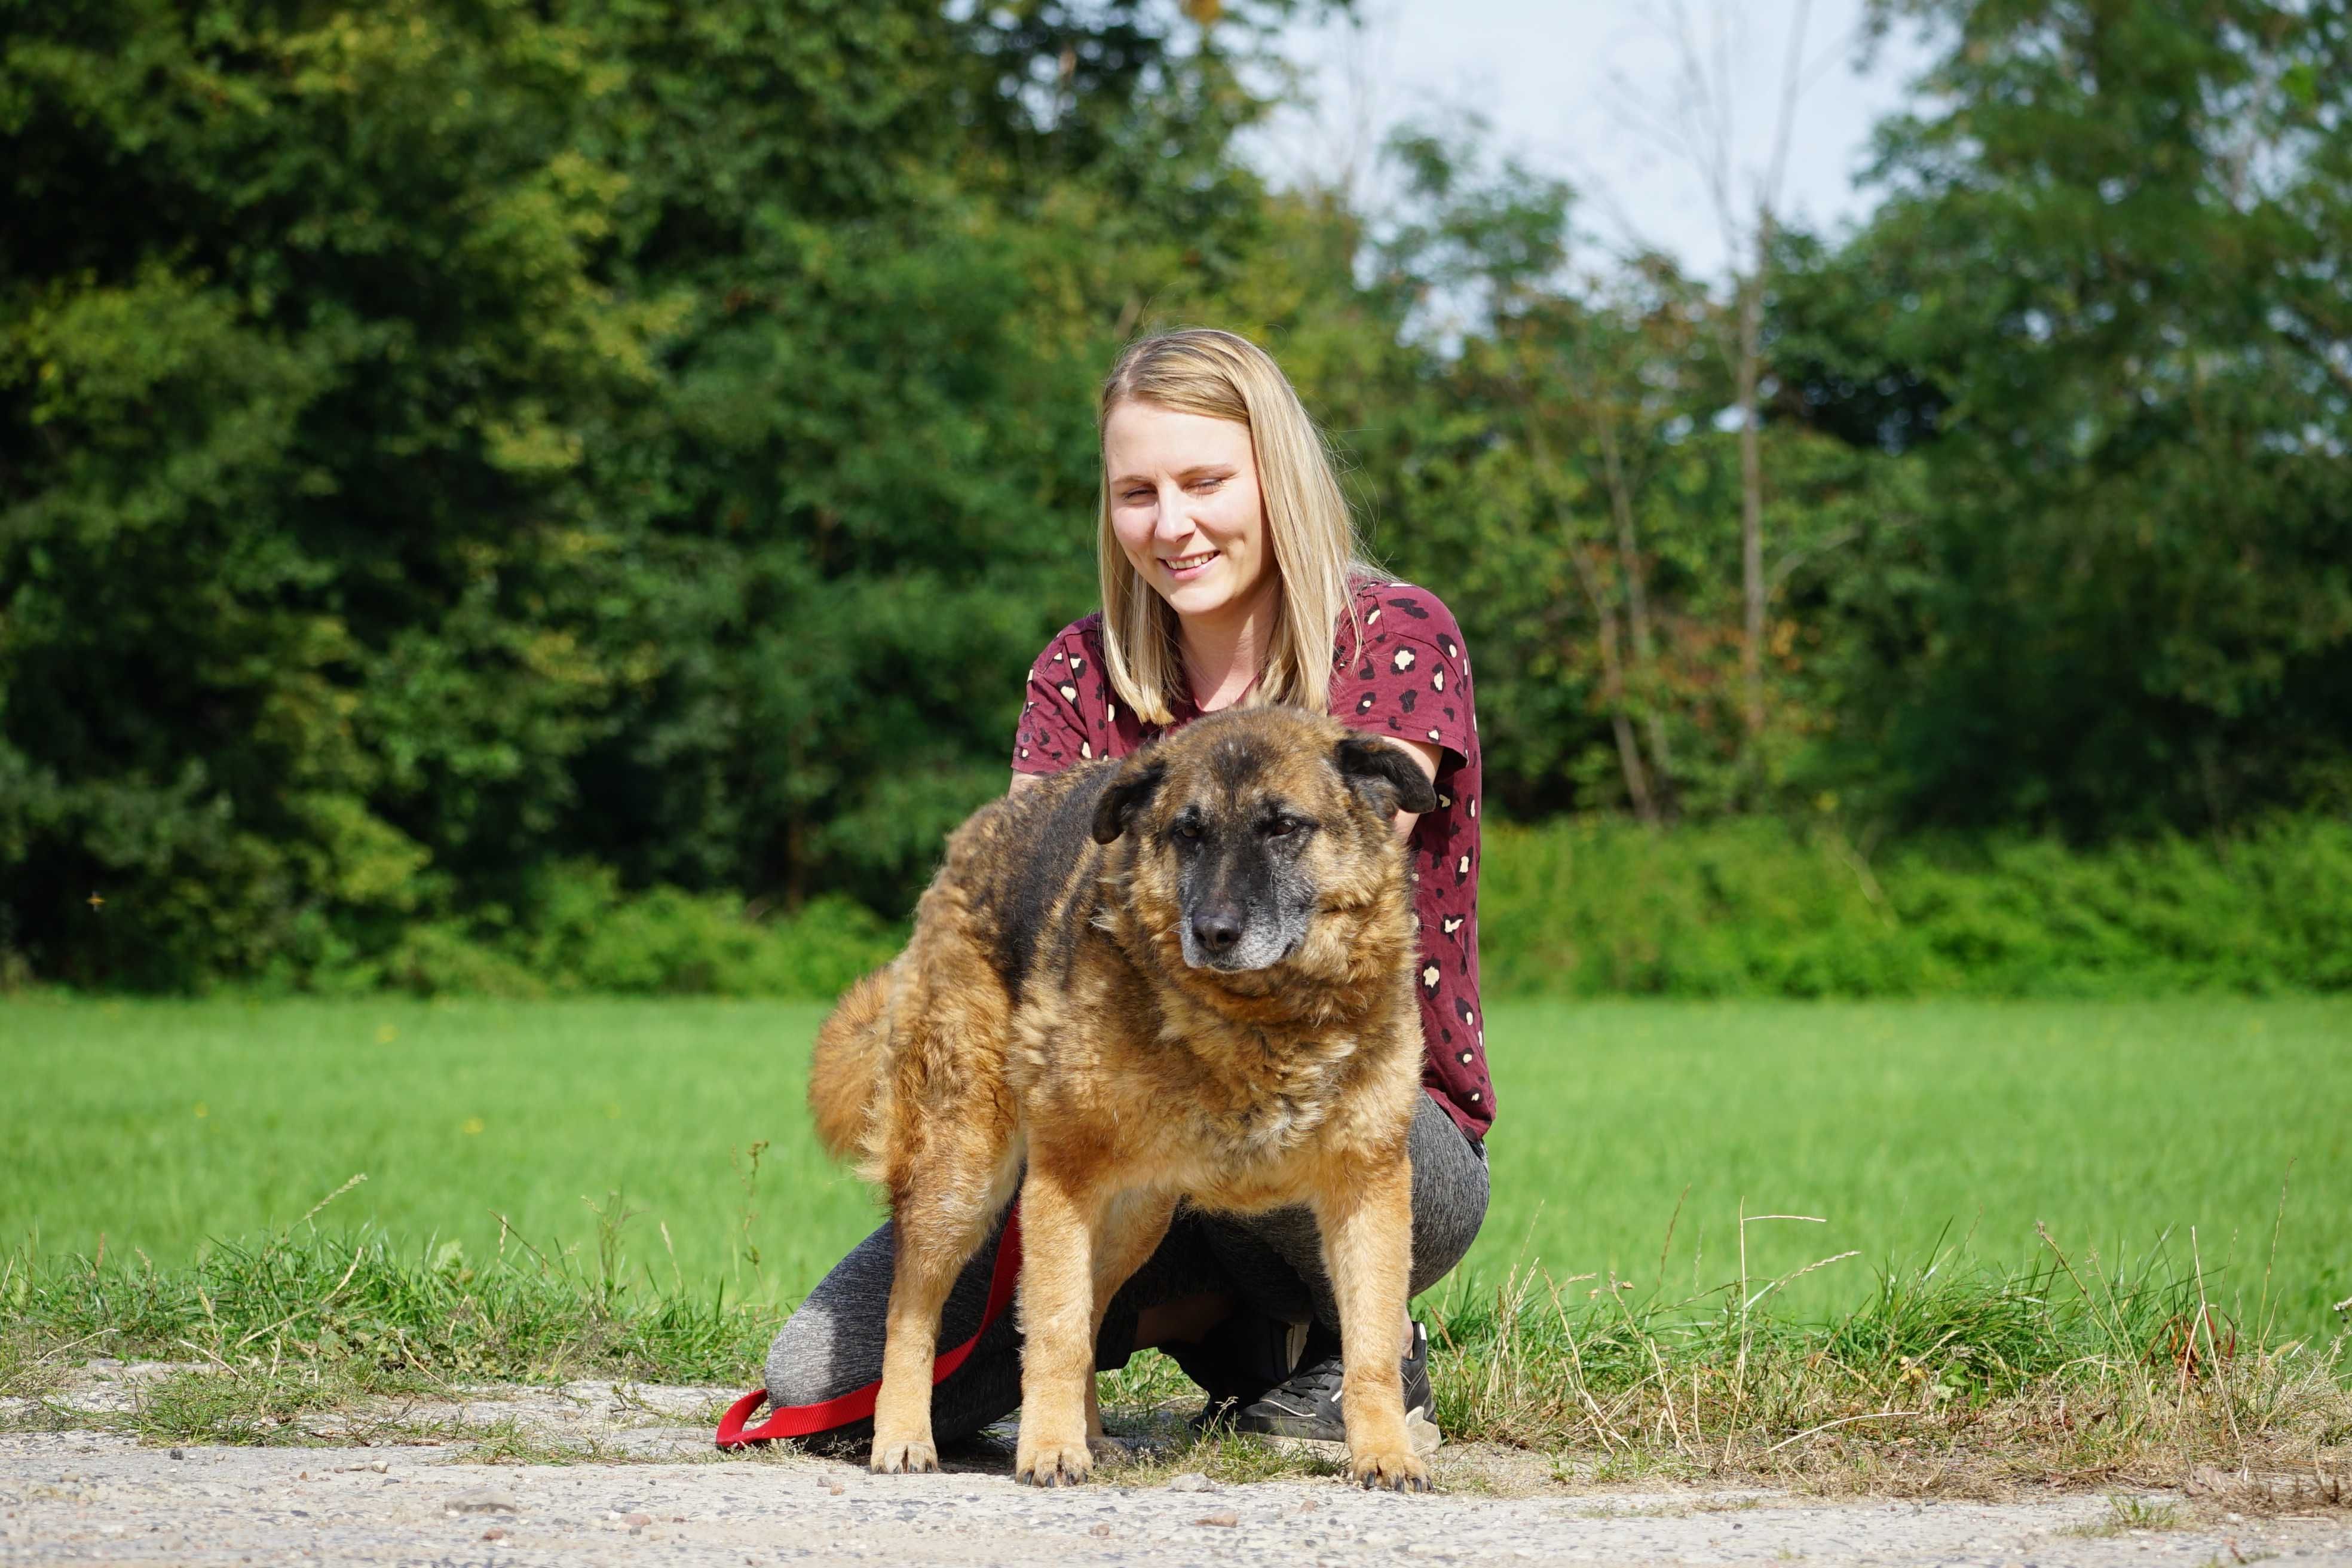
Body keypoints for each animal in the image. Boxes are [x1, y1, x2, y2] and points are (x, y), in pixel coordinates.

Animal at [808, 710, 1430, 1495]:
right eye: (1188, 831)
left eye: (1284, 826)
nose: (1214, 932)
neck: (1257, 1018)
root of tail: (977, 832)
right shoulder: (1062, 1179)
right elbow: (1053, 1331)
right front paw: (1046, 1448)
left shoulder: (1369, 1186)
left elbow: (1373, 1344)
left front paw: (1385, 1451)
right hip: (963, 1178)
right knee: (915, 1307)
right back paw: (904, 1436)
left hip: (1135, 1217)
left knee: (1094, 1310)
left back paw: (1093, 1436)